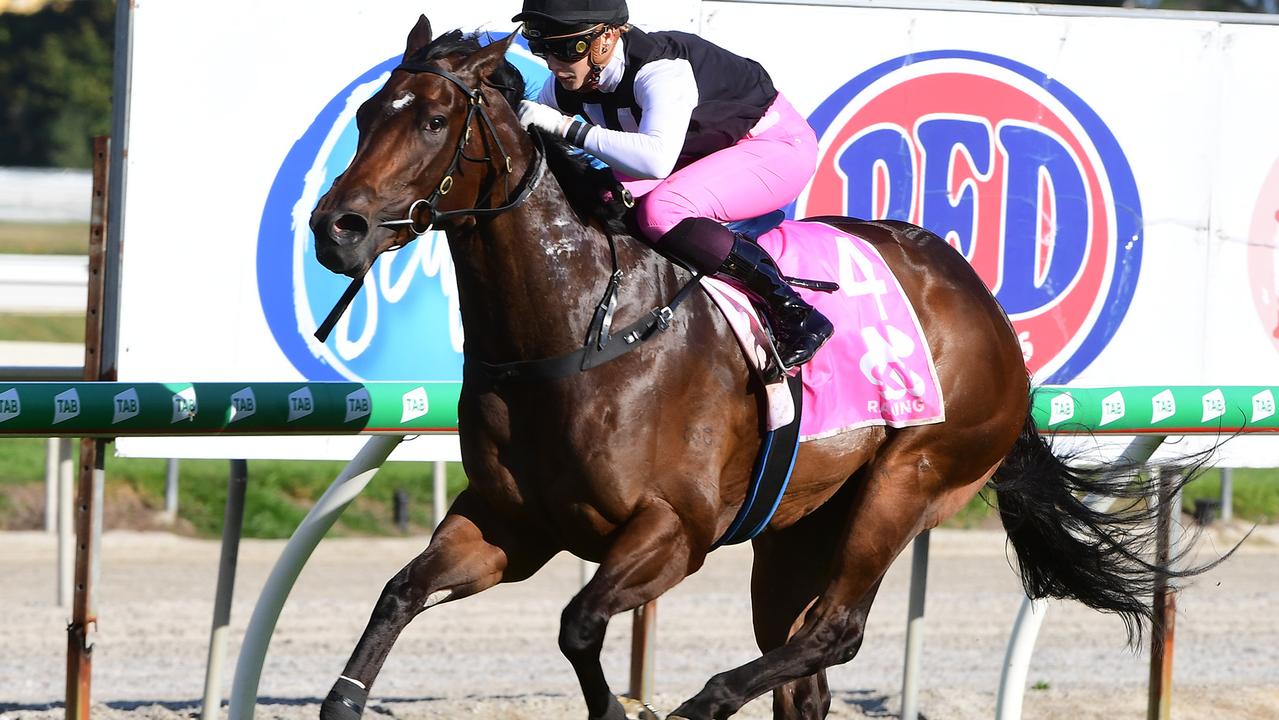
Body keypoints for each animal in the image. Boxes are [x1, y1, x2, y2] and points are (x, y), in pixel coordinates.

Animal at [312, 16, 1207, 720]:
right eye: (365, 113)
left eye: (434, 120)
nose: (336, 227)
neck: (574, 330)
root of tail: (981, 304)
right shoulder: (510, 525)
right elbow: (400, 592)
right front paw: (345, 697)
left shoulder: (675, 530)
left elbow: (579, 623)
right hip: (795, 529)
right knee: (803, 673)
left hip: (909, 479)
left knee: (834, 633)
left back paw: (702, 702)